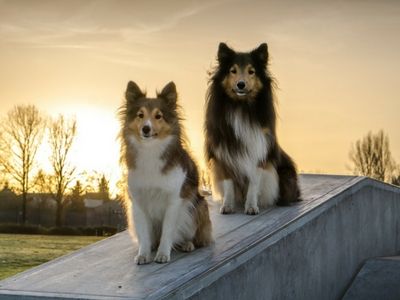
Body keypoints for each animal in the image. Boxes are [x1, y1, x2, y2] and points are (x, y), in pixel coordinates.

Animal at [119, 81, 211, 264]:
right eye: (140, 115)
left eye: (158, 116)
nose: (146, 129)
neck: (150, 150)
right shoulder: (138, 203)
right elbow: (144, 234)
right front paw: (144, 254)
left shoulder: (174, 201)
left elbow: (168, 231)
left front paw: (163, 254)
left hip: (198, 207)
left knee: (194, 236)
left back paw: (187, 244)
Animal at [205, 42, 302, 216]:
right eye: (233, 70)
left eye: (251, 71)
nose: (241, 84)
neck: (241, 107)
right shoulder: (224, 154)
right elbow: (228, 183)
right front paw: (227, 205)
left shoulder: (258, 152)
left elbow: (254, 183)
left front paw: (251, 206)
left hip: (286, 176)